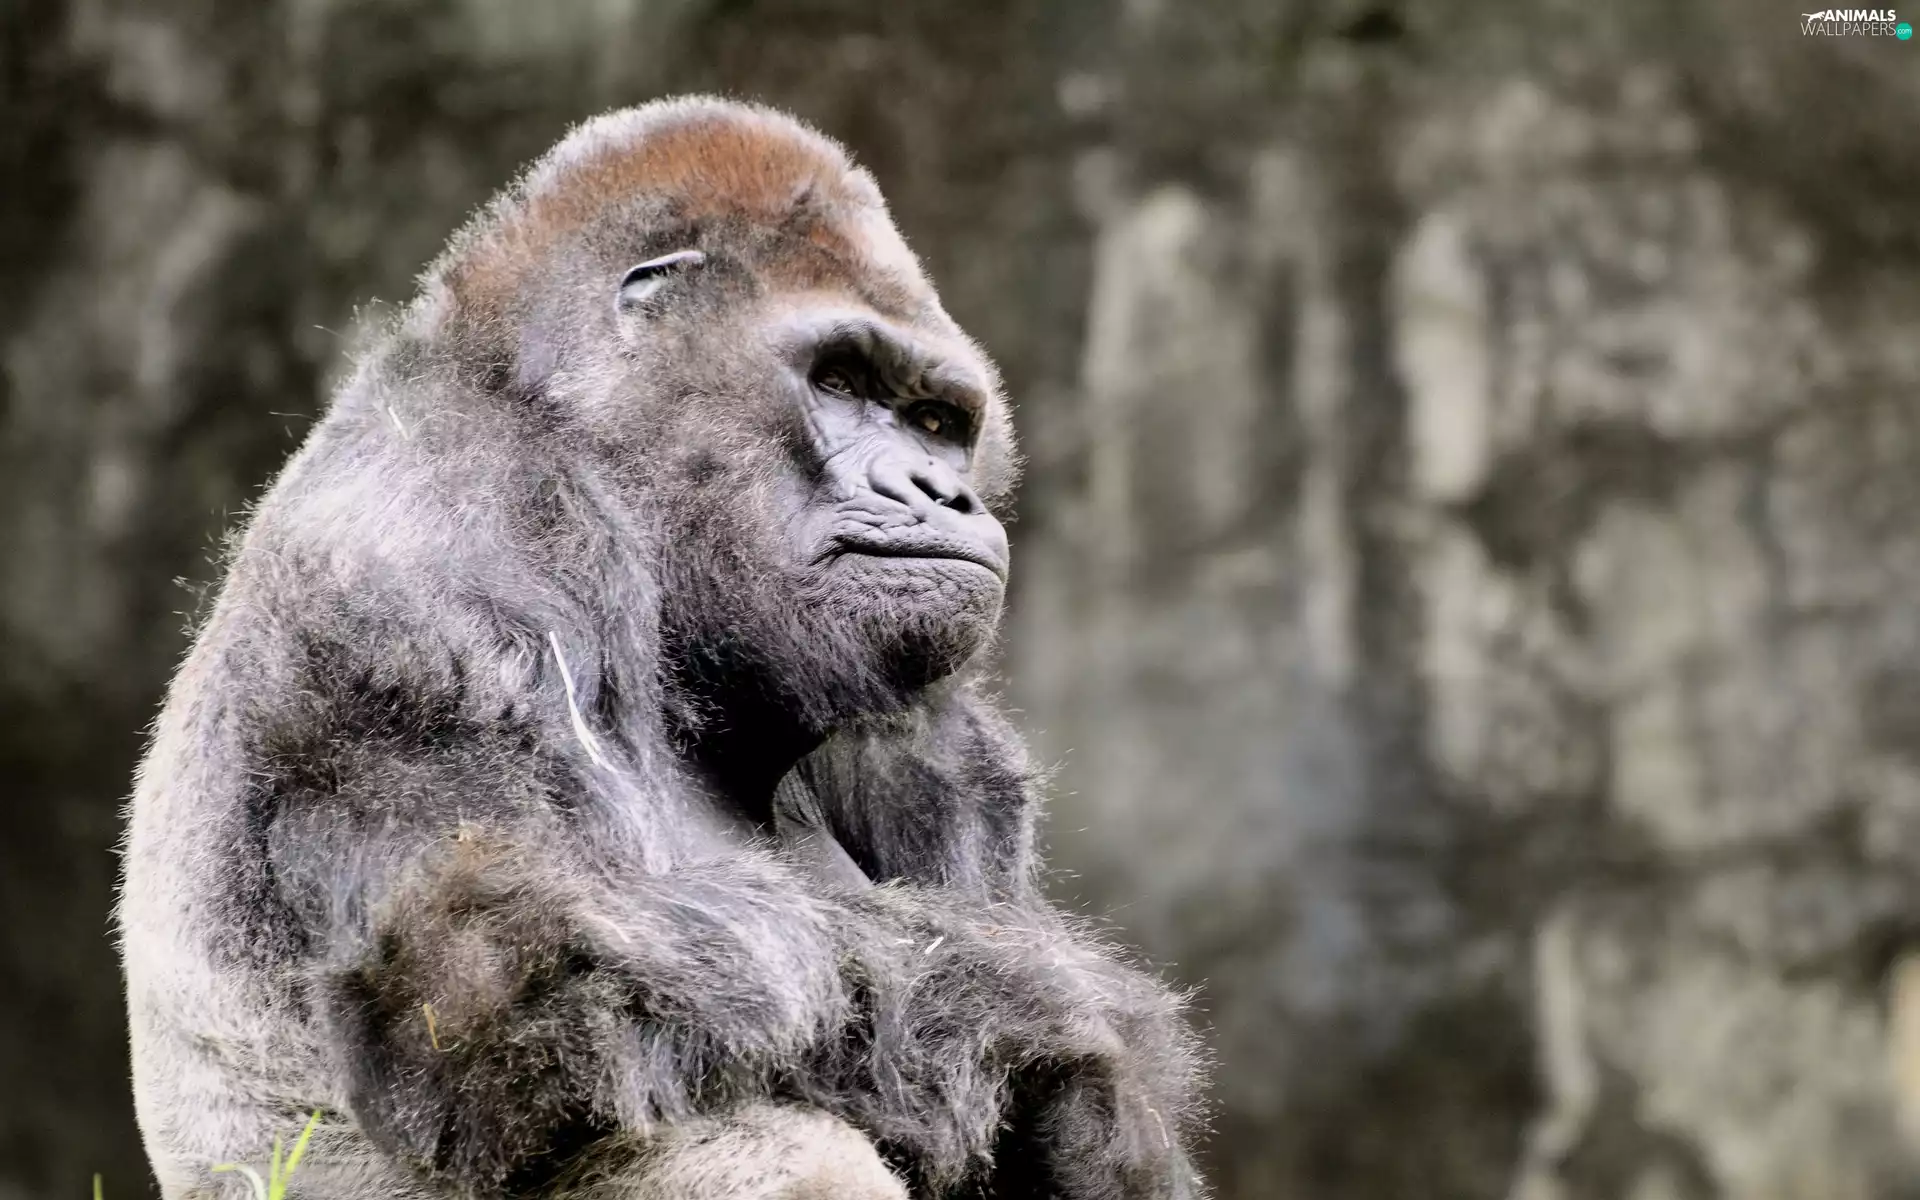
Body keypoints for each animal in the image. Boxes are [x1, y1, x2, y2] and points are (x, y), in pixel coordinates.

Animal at [118, 96, 1206, 1200]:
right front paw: (1076, 1038)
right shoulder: (442, 543)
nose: (939, 491)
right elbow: (523, 985)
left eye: (937, 422)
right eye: (838, 379)